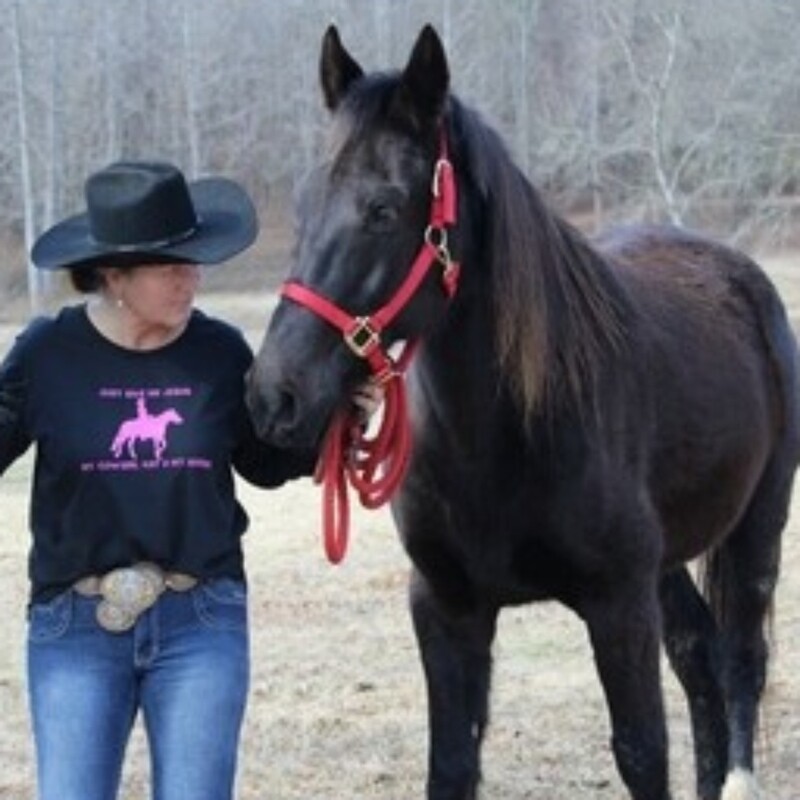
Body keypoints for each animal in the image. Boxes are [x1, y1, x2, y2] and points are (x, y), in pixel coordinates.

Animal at [245, 25, 800, 800]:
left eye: (384, 209)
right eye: (302, 206)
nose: (276, 395)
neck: (505, 438)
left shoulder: (618, 605)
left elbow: (641, 753)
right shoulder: (448, 609)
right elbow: (451, 766)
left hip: (757, 528)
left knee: (741, 660)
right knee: (698, 657)